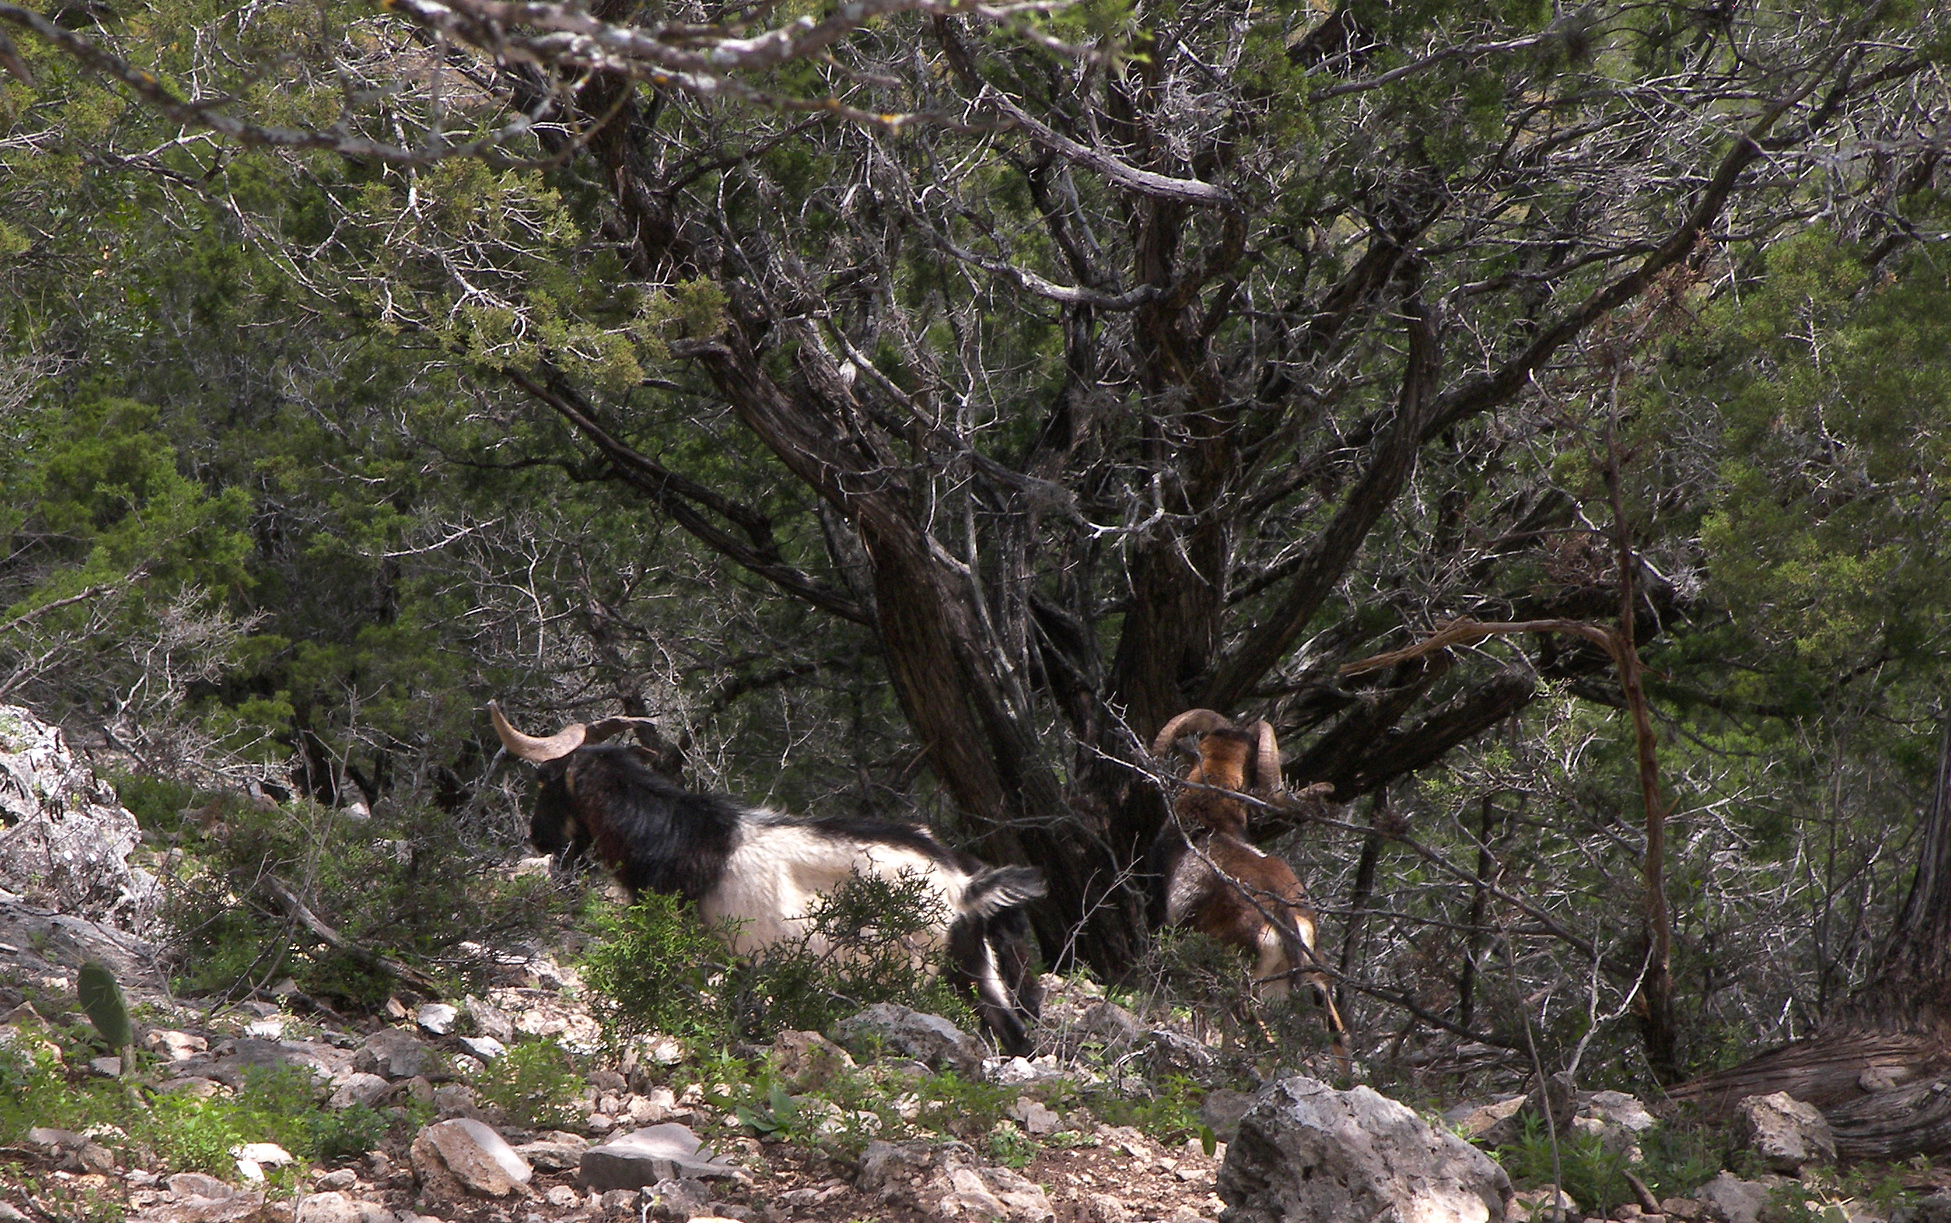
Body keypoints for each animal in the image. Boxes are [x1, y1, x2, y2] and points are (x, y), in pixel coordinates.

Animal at [491, 702, 1053, 1061]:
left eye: (543, 780)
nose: (537, 838)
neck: (673, 832)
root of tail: (964, 884)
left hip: (916, 971)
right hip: (973, 966)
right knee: (1013, 1034)